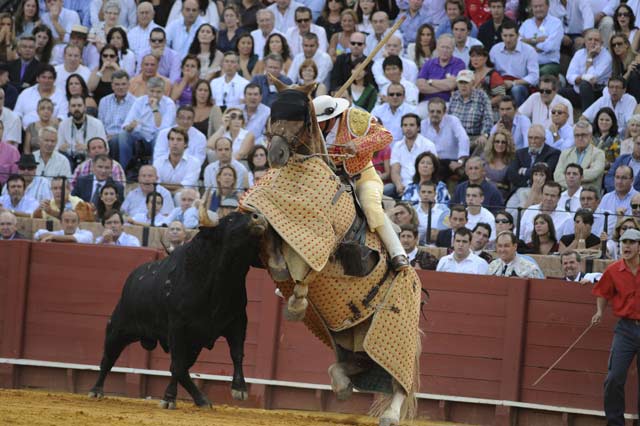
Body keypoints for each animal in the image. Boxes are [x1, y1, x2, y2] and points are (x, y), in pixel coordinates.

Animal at [89, 211, 266, 408]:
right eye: (230, 219)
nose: (257, 217)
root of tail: (132, 278)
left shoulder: (237, 322)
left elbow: (237, 354)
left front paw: (239, 389)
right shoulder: (177, 328)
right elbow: (179, 366)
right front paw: (182, 399)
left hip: (194, 343)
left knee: (179, 367)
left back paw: (186, 398)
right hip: (117, 329)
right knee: (108, 359)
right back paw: (96, 390)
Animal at [238, 80, 422, 426]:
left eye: (299, 116)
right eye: (274, 112)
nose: (275, 154)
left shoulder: (327, 243)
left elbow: (308, 269)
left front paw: (296, 303)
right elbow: (264, 227)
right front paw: (280, 270)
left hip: (397, 330)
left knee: (399, 379)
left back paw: (390, 414)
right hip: (353, 337)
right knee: (355, 365)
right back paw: (344, 385)